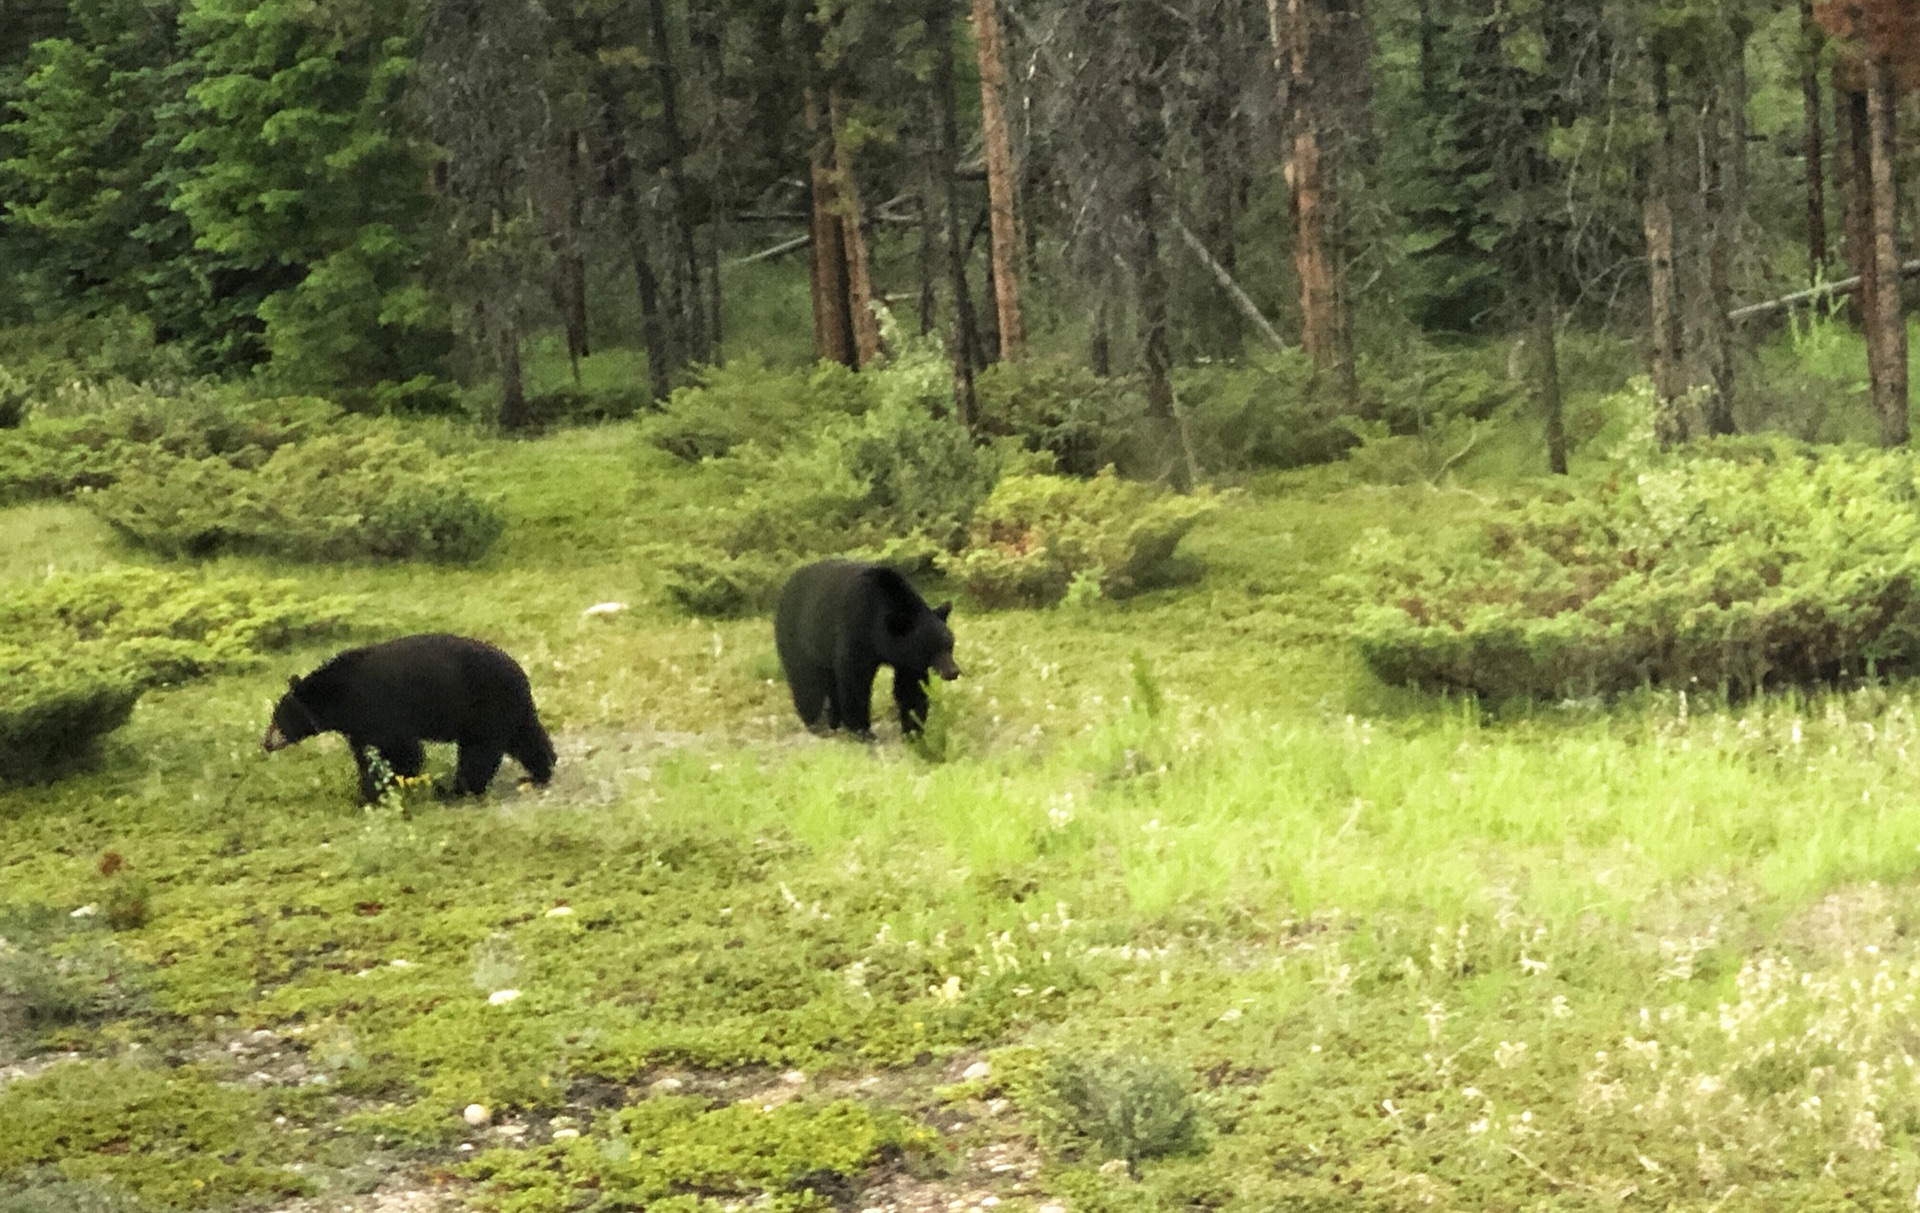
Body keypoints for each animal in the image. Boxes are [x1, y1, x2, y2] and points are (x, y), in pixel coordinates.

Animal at [261, 633, 556, 806]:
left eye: (277, 718)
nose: (265, 742)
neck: (338, 695)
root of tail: (520, 672)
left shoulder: (379, 709)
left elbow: (400, 750)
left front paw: (377, 791)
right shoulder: (359, 725)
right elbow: (368, 753)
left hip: (485, 706)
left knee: (479, 754)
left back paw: (456, 790)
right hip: (507, 710)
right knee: (526, 738)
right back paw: (541, 771)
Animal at [771, 560, 960, 740]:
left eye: (949, 644)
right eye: (931, 649)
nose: (953, 671)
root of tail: (785, 588)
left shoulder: (908, 660)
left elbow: (910, 687)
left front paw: (913, 729)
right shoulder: (856, 629)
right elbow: (856, 680)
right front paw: (862, 730)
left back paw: (834, 721)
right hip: (798, 638)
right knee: (805, 680)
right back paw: (815, 723)